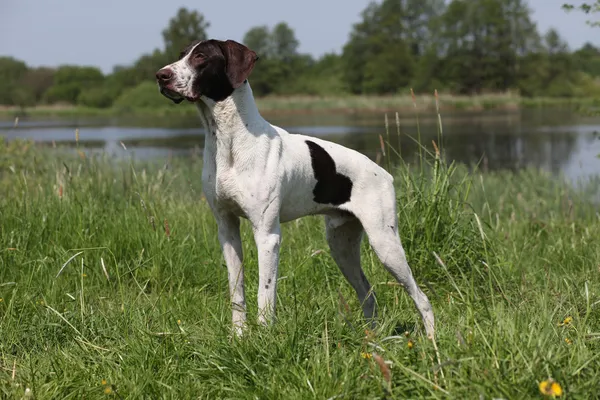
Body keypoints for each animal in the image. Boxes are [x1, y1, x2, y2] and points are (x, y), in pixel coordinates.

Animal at [157, 38, 434, 338]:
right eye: (181, 54)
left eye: (200, 56)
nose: (161, 75)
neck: (230, 144)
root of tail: (384, 173)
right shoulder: (227, 230)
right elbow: (237, 291)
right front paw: (239, 336)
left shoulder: (267, 235)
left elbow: (265, 294)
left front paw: (263, 339)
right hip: (342, 247)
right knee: (368, 294)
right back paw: (372, 339)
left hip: (385, 244)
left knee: (422, 298)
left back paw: (431, 340)